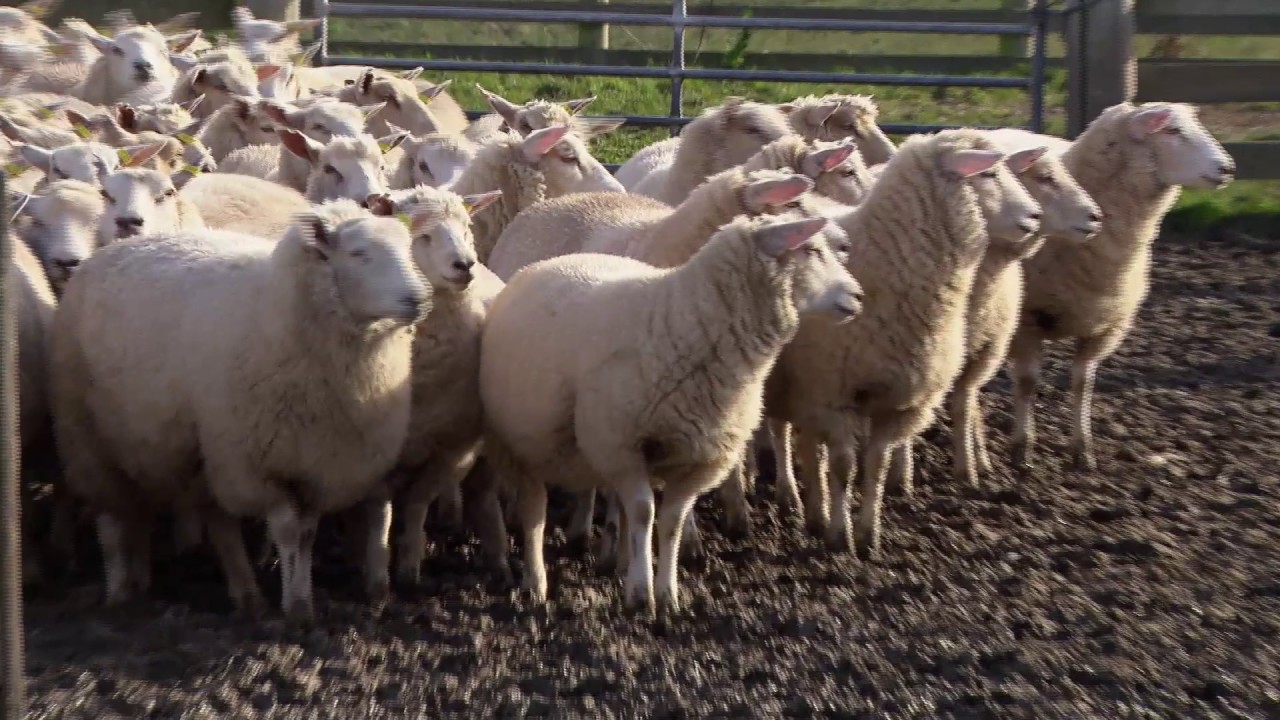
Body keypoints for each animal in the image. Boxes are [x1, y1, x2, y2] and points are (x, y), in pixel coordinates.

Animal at [49, 199, 429, 619]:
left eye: (409, 248)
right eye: (360, 254)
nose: (419, 299)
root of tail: (109, 249)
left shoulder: (315, 463)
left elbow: (307, 533)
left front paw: (302, 599)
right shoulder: (257, 463)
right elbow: (288, 531)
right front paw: (295, 609)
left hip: (192, 452)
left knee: (196, 520)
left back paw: (232, 593)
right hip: (88, 435)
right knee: (112, 518)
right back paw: (119, 590)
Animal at [480, 213, 861, 611]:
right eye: (811, 249)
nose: (858, 296)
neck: (683, 318)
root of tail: (551, 261)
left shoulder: (698, 458)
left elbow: (671, 521)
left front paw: (665, 595)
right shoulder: (621, 445)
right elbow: (644, 512)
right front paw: (640, 592)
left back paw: (617, 562)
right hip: (518, 444)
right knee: (535, 511)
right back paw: (535, 584)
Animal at [762, 129, 1042, 557]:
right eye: (989, 173)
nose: (1035, 216)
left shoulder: (895, 401)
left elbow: (875, 465)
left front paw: (868, 536)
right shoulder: (832, 393)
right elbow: (843, 467)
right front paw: (839, 535)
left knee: (809, 445)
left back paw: (814, 512)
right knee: (785, 434)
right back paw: (794, 498)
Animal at [987, 102, 1235, 472]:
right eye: (1172, 130)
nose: (1228, 168)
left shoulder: (1104, 327)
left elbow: (1083, 383)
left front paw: (1082, 450)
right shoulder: (1026, 323)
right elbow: (1028, 384)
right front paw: (1022, 449)